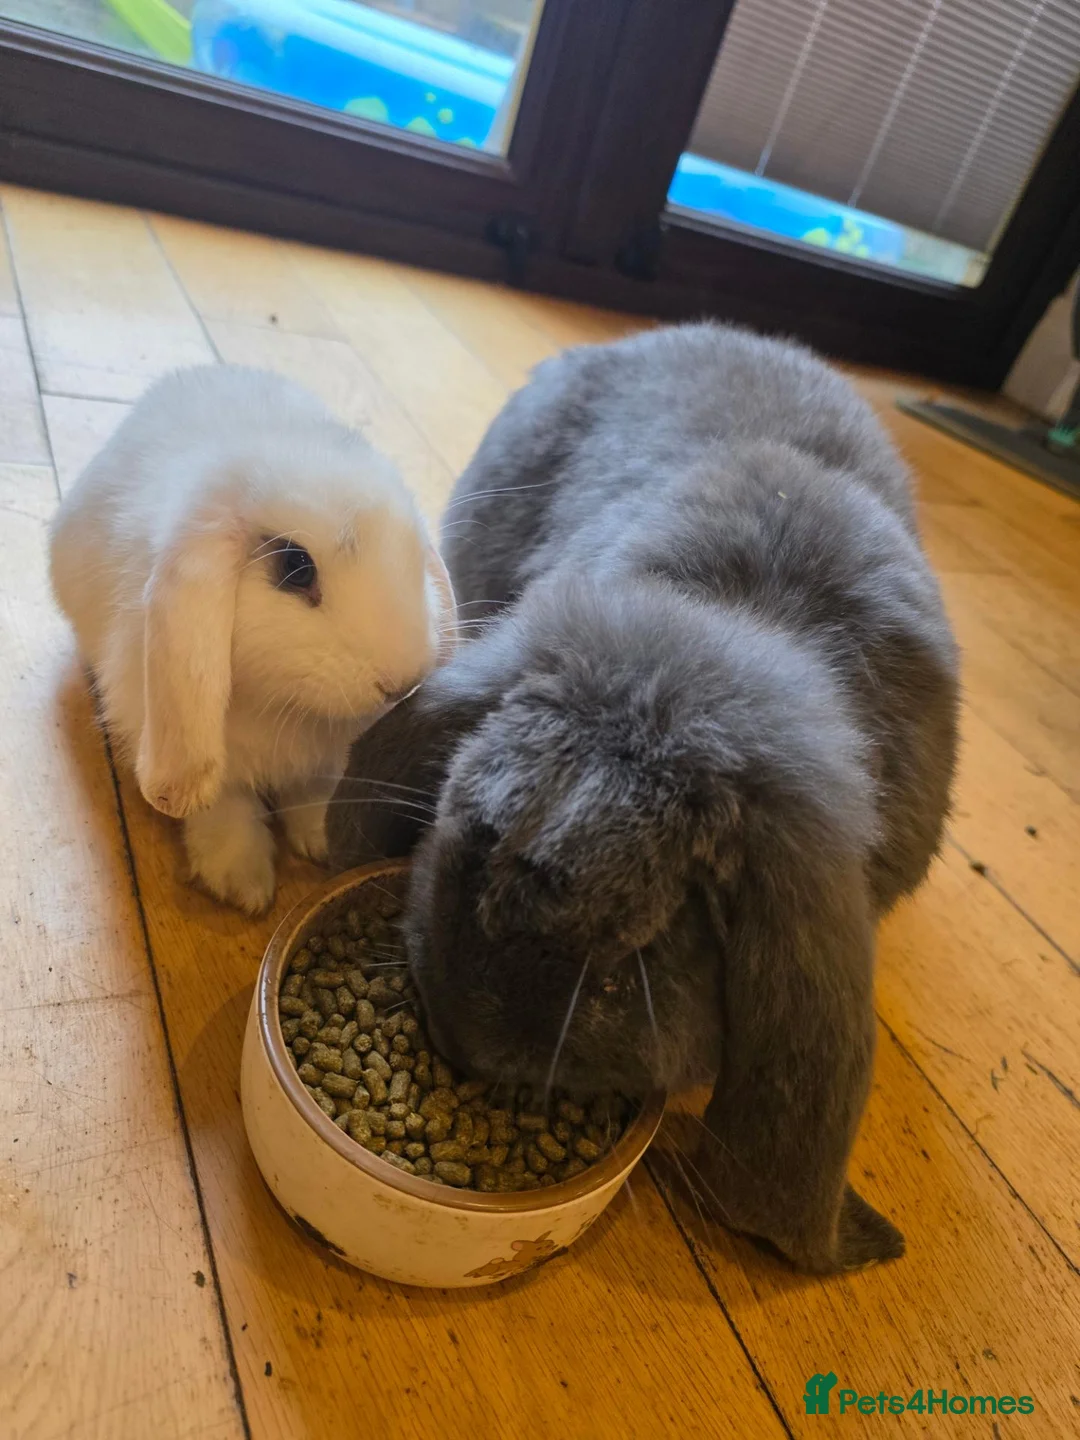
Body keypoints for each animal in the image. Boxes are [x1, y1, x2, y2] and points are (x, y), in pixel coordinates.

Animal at [50, 365, 454, 915]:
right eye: (295, 568)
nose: (402, 681)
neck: (288, 710)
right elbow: (223, 806)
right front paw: (243, 885)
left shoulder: (325, 758)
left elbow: (315, 789)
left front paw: (320, 838)